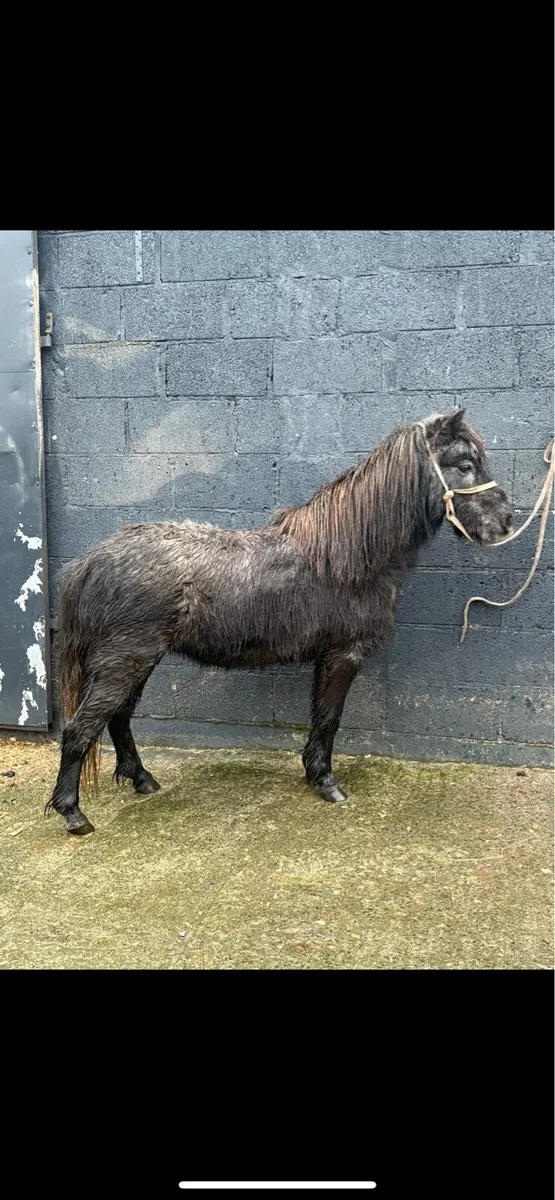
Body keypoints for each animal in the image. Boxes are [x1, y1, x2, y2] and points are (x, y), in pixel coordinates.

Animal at [45, 408, 514, 835]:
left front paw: (315, 775)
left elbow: (320, 717)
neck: (343, 556)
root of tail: (88, 562)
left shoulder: (327, 657)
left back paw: (142, 780)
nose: (506, 522)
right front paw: (326, 783)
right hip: (124, 662)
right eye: (465, 465)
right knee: (81, 729)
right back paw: (73, 813)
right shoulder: (343, 656)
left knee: (118, 719)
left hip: (135, 662)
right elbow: (329, 719)